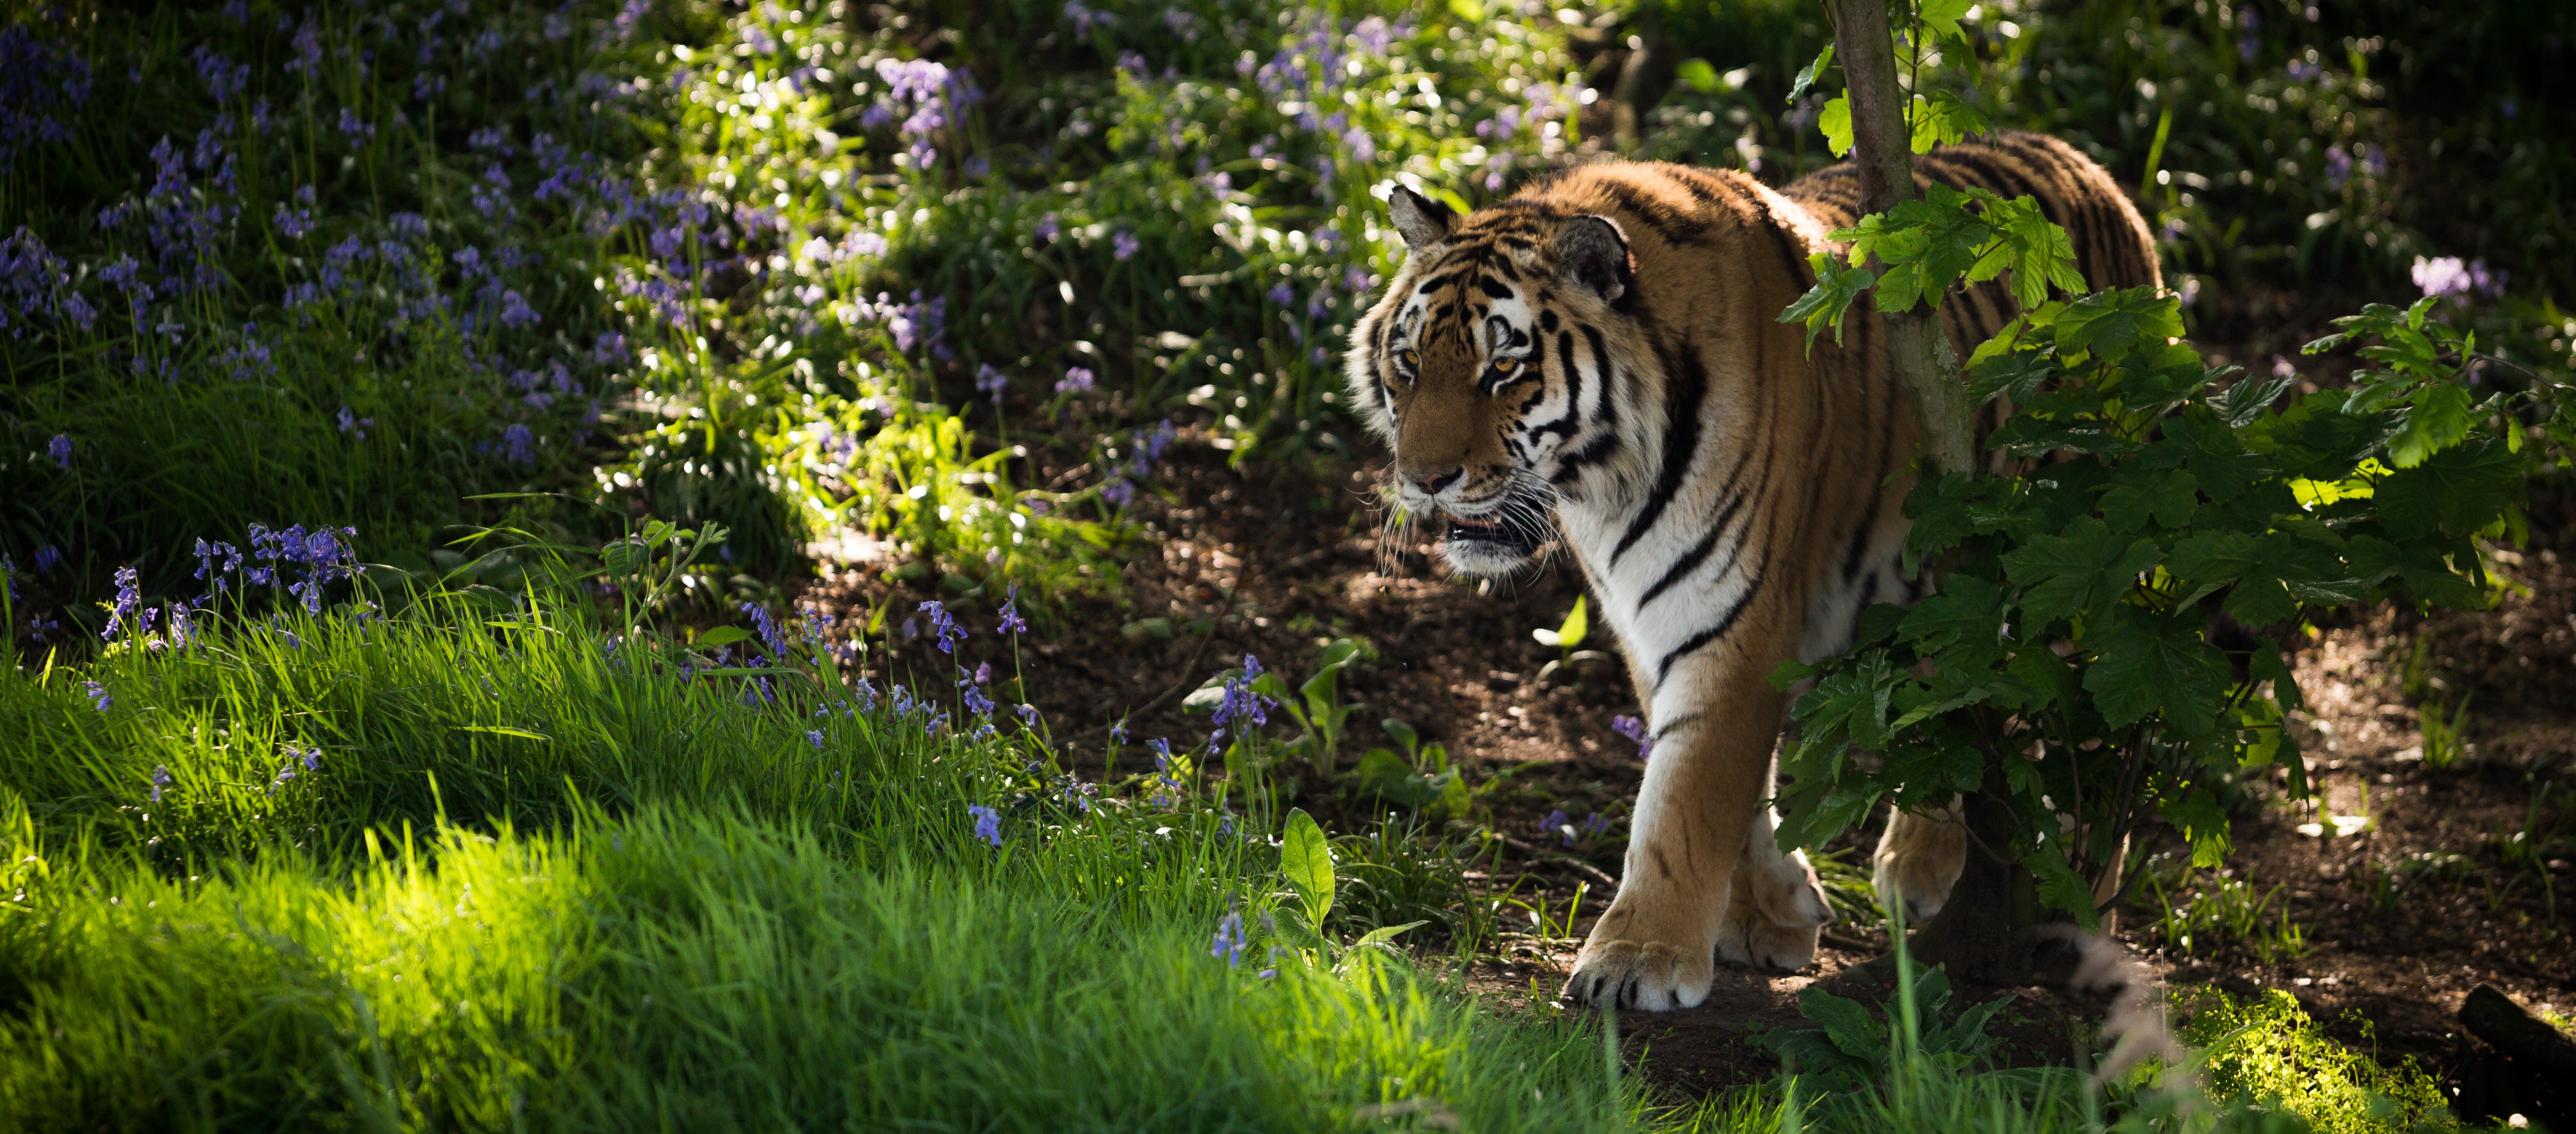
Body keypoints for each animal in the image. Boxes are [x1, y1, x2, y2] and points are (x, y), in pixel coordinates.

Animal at [1339, 133, 2164, 1010]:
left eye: (1503, 370)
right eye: (1407, 364)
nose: (1423, 479)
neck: (1602, 483)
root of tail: (2088, 166)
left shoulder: (1731, 611)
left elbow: (1688, 795)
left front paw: (1638, 958)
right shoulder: (1654, 620)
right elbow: (1724, 785)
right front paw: (1768, 916)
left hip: (2081, 568)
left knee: (2097, 750)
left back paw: (2081, 923)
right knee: (1956, 700)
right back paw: (1922, 867)